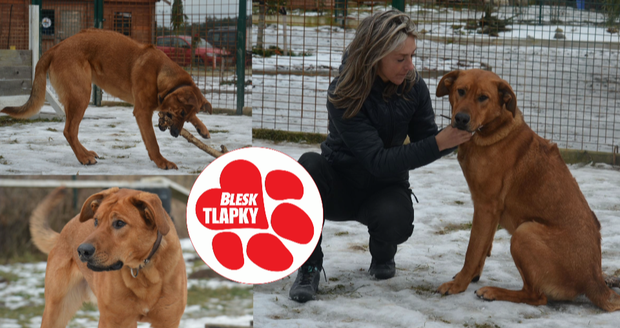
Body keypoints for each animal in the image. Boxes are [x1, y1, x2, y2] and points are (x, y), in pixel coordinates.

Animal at [1, 28, 213, 169]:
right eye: (181, 112)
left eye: (186, 117)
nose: (176, 134)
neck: (161, 75)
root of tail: (55, 48)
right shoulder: (142, 112)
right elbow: (153, 142)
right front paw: (162, 162)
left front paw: (202, 128)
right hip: (81, 95)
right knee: (69, 131)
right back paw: (83, 158)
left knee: (72, 131)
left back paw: (86, 153)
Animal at [31, 186, 186, 326]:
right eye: (95, 221)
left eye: (119, 223)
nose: (82, 251)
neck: (143, 269)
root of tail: (63, 231)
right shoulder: (115, 320)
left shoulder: (167, 321)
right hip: (56, 310)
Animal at [434, 68, 620, 310]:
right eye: (461, 91)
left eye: (483, 97)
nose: (461, 119)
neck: (491, 131)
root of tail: (595, 281)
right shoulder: (491, 212)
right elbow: (484, 248)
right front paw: (471, 276)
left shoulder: (486, 206)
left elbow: (473, 251)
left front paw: (458, 285)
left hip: (524, 233)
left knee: (536, 296)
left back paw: (493, 292)